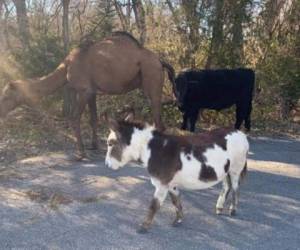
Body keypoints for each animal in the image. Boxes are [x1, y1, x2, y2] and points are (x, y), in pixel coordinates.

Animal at [0, 32, 176, 159]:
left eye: (6, 96)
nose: (1, 111)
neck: (66, 67)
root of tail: (160, 61)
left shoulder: (83, 90)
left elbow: (74, 118)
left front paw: (81, 153)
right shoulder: (92, 91)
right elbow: (93, 118)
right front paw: (93, 146)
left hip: (152, 78)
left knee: (158, 120)